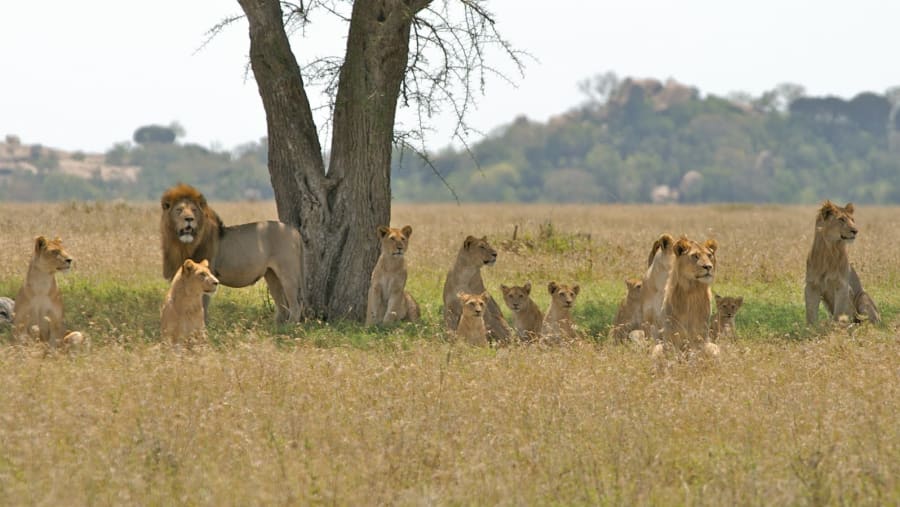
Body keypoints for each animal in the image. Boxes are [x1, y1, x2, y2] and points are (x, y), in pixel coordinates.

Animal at [160, 183, 303, 323]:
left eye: (194, 210)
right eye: (179, 210)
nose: (189, 219)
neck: (182, 245)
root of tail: (295, 231)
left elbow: (201, 308)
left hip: (288, 273)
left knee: (295, 306)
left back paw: (290, 326)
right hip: (271, 274)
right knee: (282, 307)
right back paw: (277, 327)